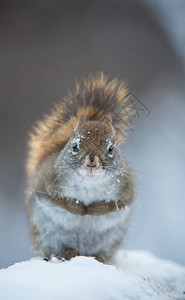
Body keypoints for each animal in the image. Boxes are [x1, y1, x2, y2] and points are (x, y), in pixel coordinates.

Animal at [25, 72, 134, 262]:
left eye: (111, 149)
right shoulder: (46, 182)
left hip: (111, 239)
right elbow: (58, 200)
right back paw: (67, 252)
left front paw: (95, 208)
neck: (89, 182)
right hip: (46, 235)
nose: (91, 161)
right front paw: (78, 208)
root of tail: (83, 252)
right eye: (75, 146)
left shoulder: (126, 189)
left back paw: (99, 257)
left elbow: (116, 204)